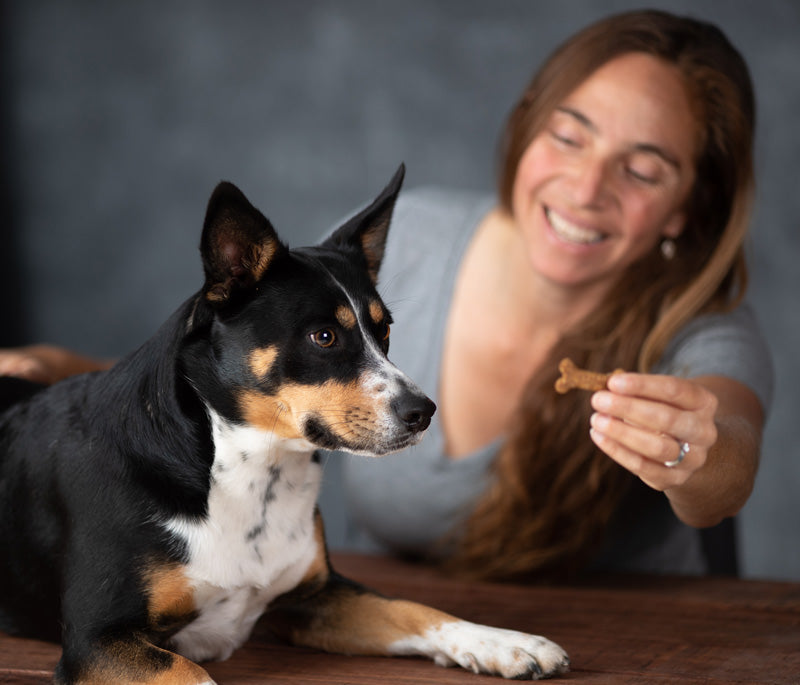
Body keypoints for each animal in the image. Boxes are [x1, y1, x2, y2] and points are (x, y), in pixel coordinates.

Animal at [0, 163, 568, 680]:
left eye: (384, 331)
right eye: (324, 337)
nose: (423, 412)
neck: (246, 471)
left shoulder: (315, 597)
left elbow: (414, 609)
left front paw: (506, 643)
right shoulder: (97, 641)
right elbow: (192, 674)